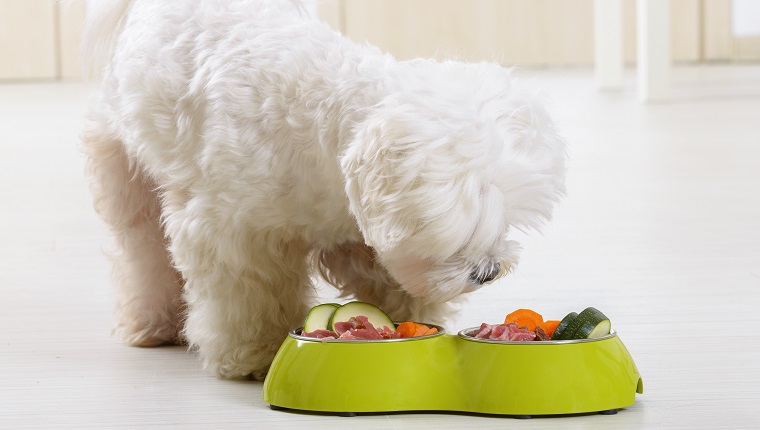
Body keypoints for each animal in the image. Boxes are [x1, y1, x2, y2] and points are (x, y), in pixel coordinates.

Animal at [81, 0, 564, 378]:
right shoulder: (233, 235)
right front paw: (256, 354)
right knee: (142, 250)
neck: (316, 126)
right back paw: (153, 324)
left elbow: (387, 281)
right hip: (125, 167)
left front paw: (414, 322)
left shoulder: (352, 231)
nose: (489, 271)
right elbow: (251, 296)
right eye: (453, 230)